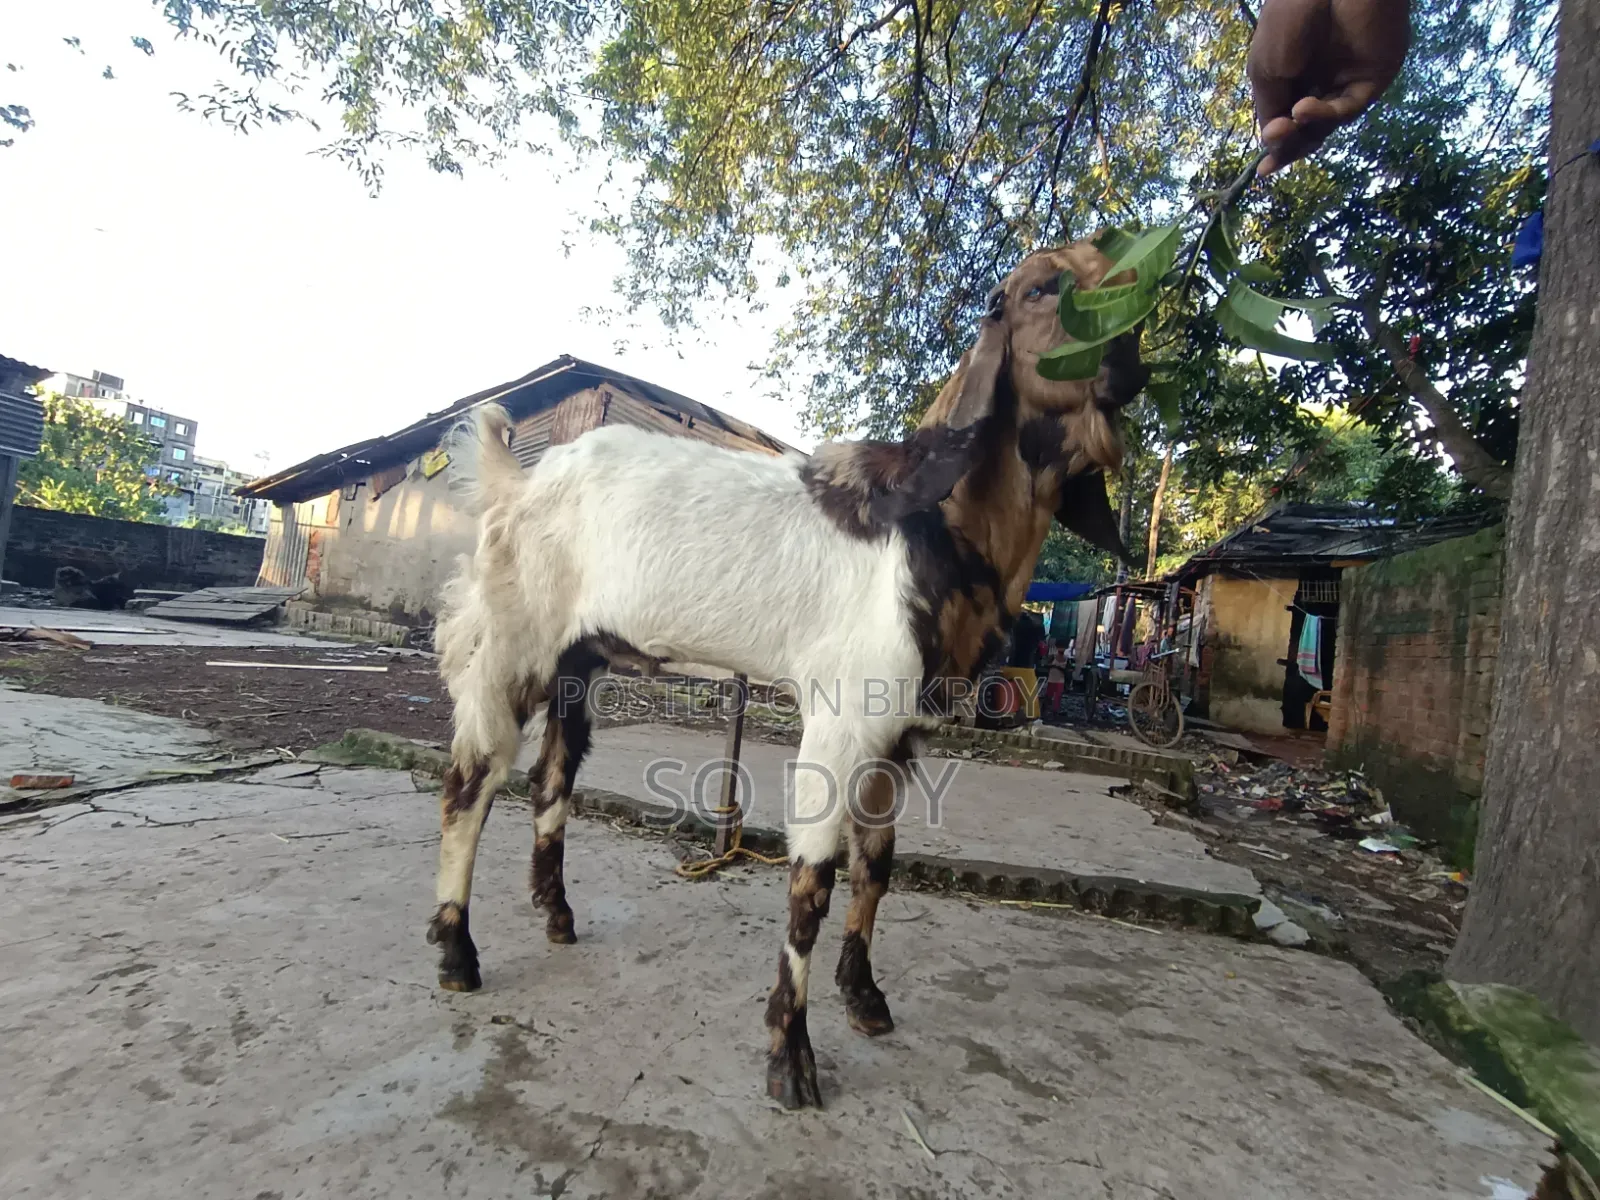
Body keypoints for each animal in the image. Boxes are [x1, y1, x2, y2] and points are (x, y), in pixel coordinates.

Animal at [427, 239, 1146, 1109]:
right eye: (1040, 288)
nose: (1128, 356)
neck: (940, 527)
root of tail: (518, 480)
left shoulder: (897, 732)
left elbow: (877, 863)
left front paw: (864, 997)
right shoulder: (840, 719)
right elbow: (814, 880)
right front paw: (791, 1057)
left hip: (578, 661)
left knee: (552, 776)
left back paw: (556, 914)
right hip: (511, 641)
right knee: (471, 780)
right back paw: (456, 952)